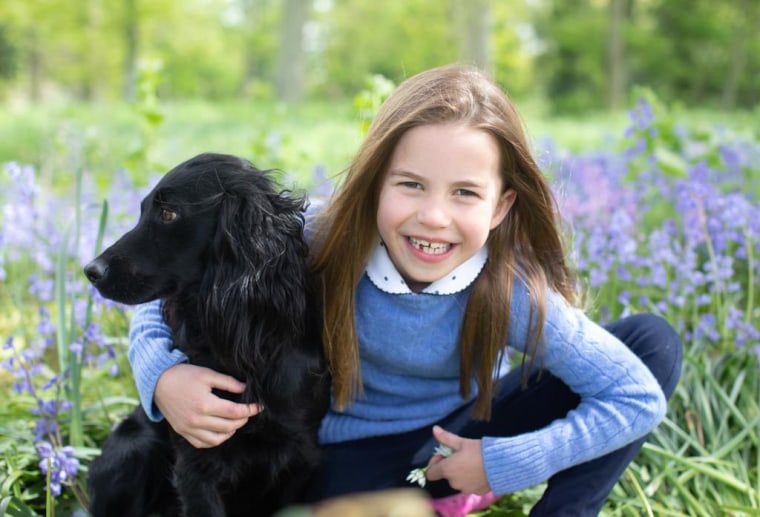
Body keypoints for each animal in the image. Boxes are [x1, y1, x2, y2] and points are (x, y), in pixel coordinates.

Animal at [84, 153, 332, 516]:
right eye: (142, 209)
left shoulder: (300, 457)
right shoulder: (197, 462)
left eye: (168, 213)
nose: (91, 270)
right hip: (133, 448)